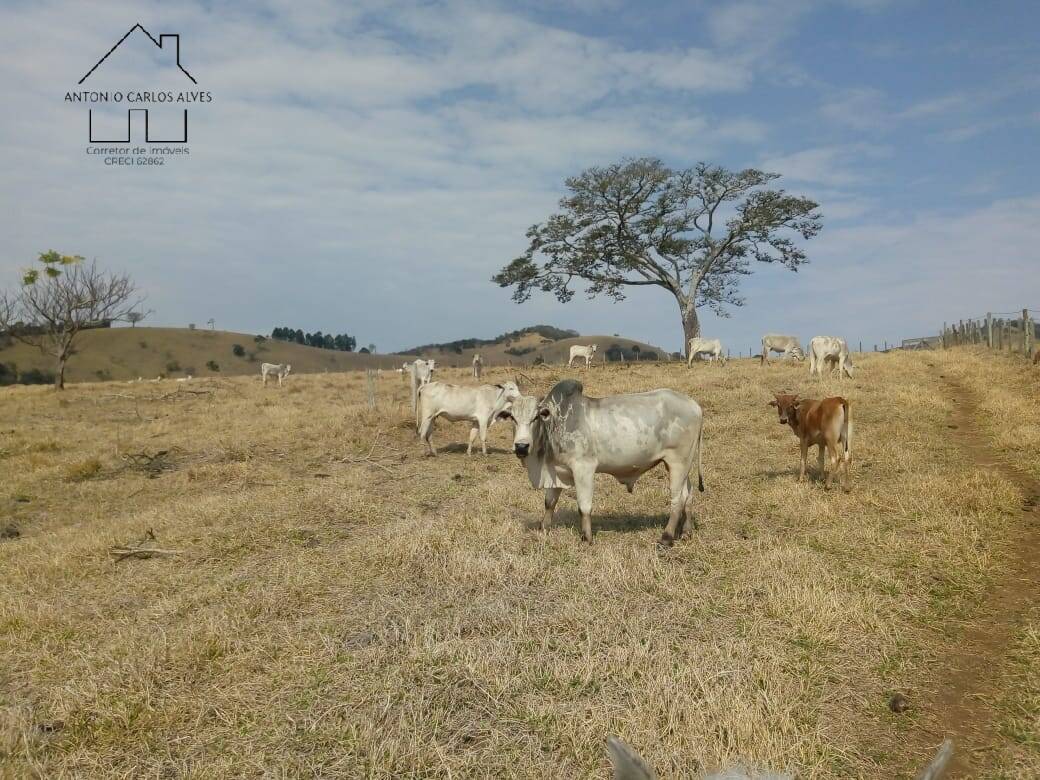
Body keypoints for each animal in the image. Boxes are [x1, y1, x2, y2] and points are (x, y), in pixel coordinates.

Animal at [497, 382, 707, 544]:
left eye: (536, 417)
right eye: (512, 417)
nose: (521, 446)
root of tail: (695, 406)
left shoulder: (583, 468)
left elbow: (584, 506)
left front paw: (586, 538)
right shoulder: (557, 471)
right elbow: (549, 502)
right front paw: (543, 529)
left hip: (678, 462)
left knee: (677, 499)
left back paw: (666, 537)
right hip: (680, 465)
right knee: (688, 495)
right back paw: (686, 532)